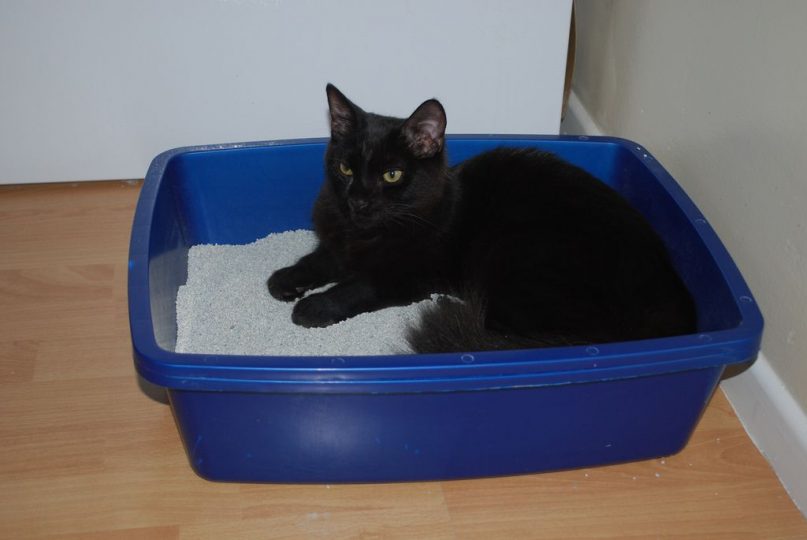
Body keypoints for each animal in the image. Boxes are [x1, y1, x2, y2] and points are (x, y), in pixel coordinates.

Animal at [266, 84, 696, 352]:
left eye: (392, 175)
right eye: (345, 169)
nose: (359, 201)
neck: (369, 231)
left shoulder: (409, 274)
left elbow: (359, 285)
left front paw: (315, 307)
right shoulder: (340, 242)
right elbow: (321, 259)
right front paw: (286, 279)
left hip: (518, 253)